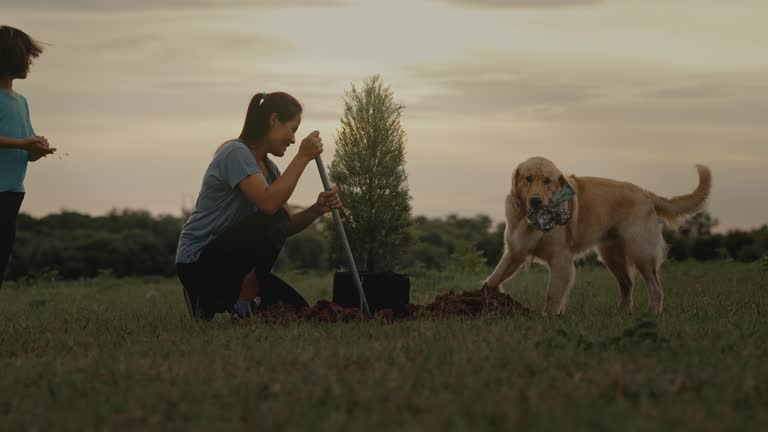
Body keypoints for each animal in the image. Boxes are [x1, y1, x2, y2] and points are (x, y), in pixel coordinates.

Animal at [484, 157, 712, 316]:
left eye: (547, 181)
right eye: (528, 179)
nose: (535, 201)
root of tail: (646, 194)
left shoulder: (560, 259)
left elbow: (552, 294)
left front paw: (548, 317)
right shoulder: (514, 253)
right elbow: (492, 278)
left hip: (641, 253)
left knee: (655, 287)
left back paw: (652, 314)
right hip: (611, 256)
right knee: (627, 284)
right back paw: (621, 313)